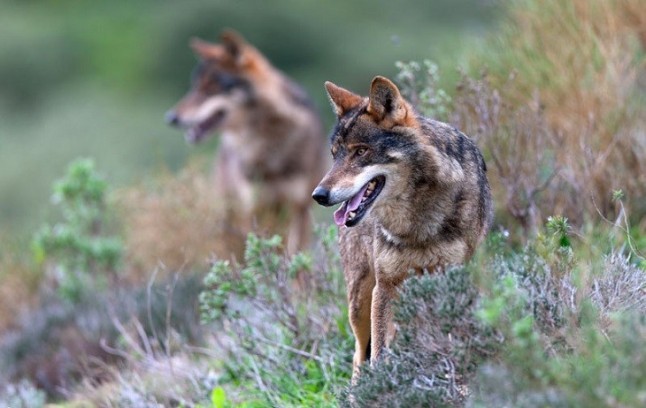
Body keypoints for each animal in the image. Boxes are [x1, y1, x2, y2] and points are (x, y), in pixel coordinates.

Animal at [166, 30, 327, 255]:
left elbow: (295, 254)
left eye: (211, 88)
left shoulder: (299, 207)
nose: (171, 117)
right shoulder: (252, 207)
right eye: (195, 87)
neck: (269, 145)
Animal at [312, 76, 493, 379]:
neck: (417, 225)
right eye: (335, 155)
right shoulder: (384, 288)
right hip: (360, 302)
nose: (319, 195)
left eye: (361, 151)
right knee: (359, 356)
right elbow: (378, 355)